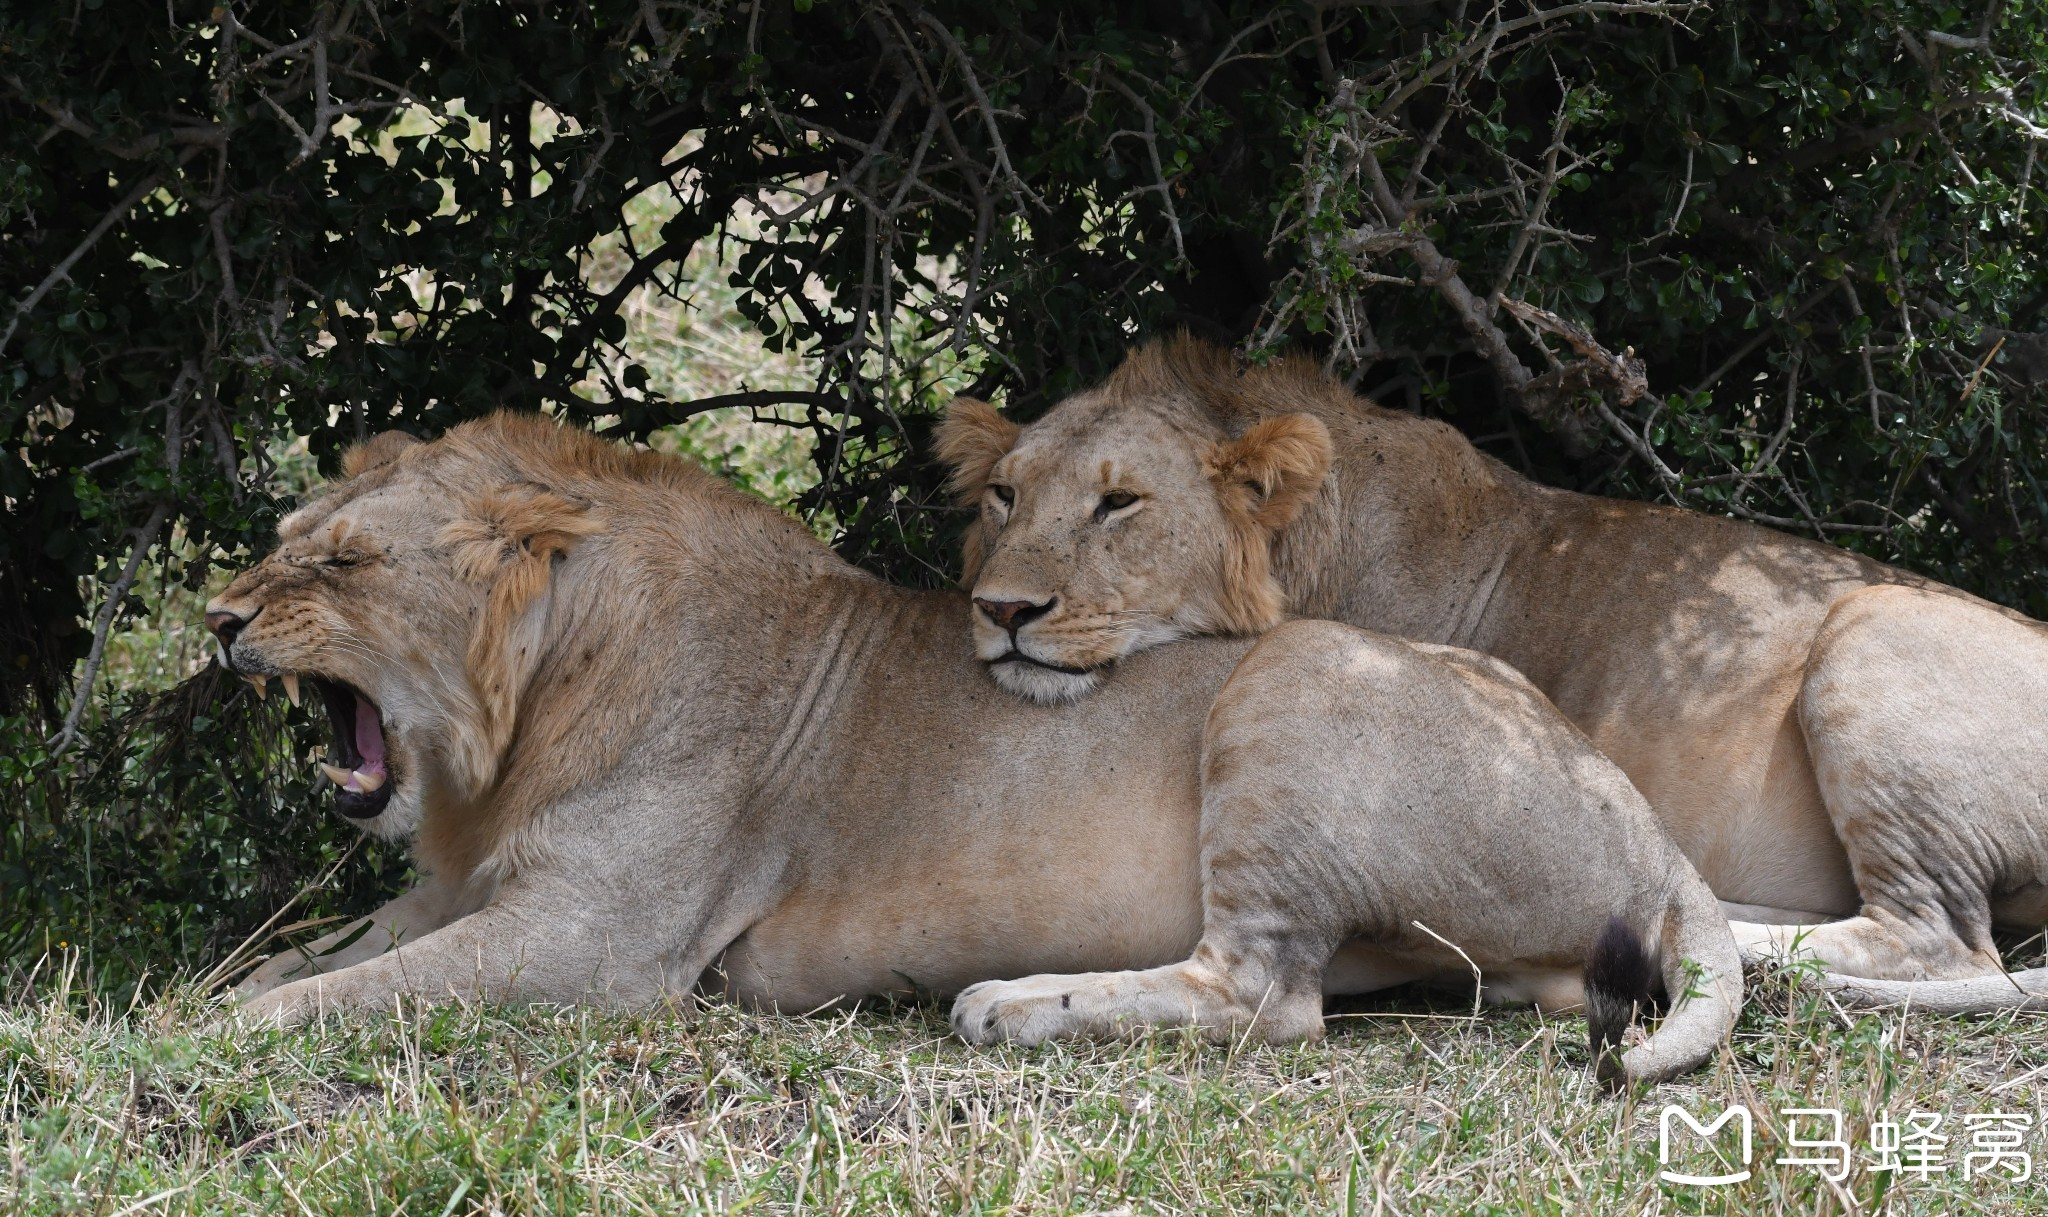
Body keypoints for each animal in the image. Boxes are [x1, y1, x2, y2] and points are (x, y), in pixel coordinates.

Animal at [216, 409, 1736, 1081]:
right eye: (283, 540)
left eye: (343, 564)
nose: (221, 618)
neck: (515, 726)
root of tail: (1646, 823)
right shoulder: (458, 884)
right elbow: (309, 957)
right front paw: (197, 990)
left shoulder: (593, 944)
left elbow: (357, 992)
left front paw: (207, 1032)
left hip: (1292, 681)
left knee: (1264, 996)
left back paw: (1014, 1004)